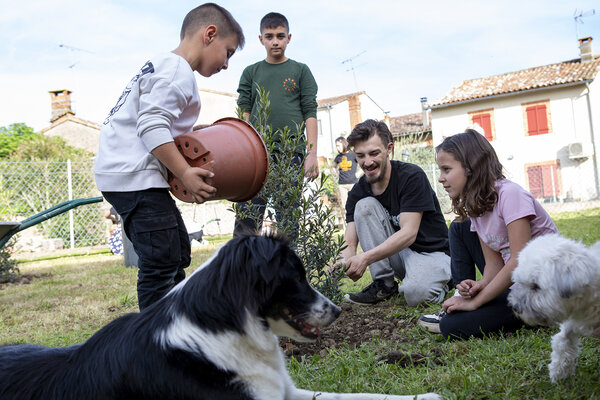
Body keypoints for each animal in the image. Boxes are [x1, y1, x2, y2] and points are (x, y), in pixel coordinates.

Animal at [506, 236, 600, 382]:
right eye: (520, 283)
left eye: (536, 286)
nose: (515, 307)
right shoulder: (571, 324)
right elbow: (562, 342)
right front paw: (558, 372)